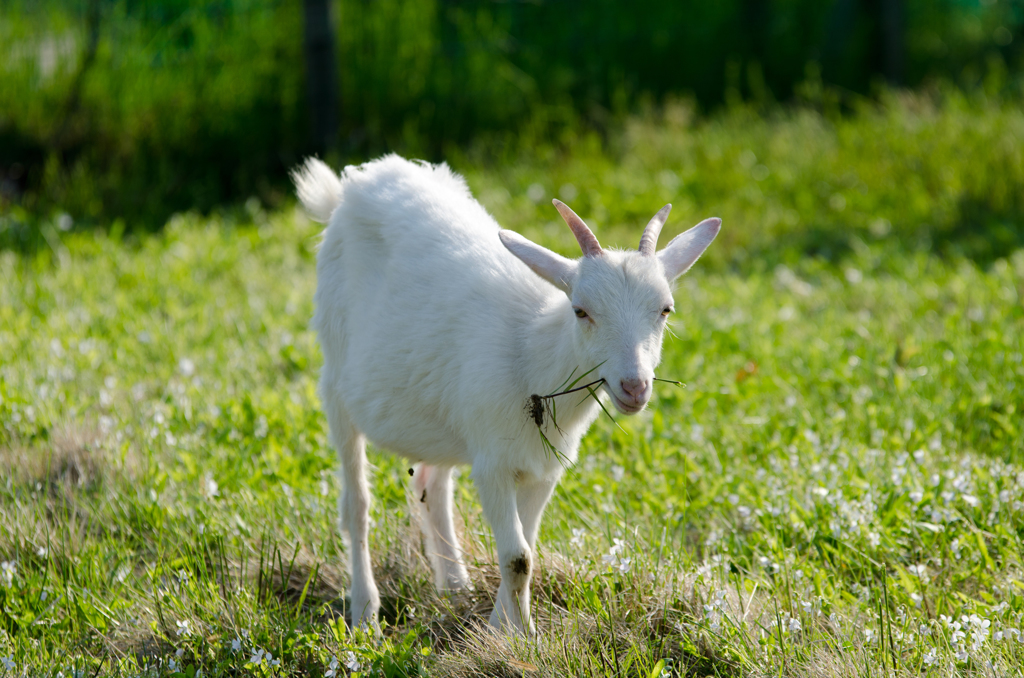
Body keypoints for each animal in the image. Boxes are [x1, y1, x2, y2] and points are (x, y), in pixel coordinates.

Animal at [292, 155, 716, 639]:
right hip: (336, 382)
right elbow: (518, 558)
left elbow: (525, 548)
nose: (635, 387)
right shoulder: (493, 464)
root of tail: (353, 184)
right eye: (581, 310)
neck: (532, 352)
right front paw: (516, 634)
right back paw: (365, 613)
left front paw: (508, 629)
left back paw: (454, 585)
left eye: (665, 309)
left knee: (432, 485)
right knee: (356, 505)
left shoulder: (544, 468)